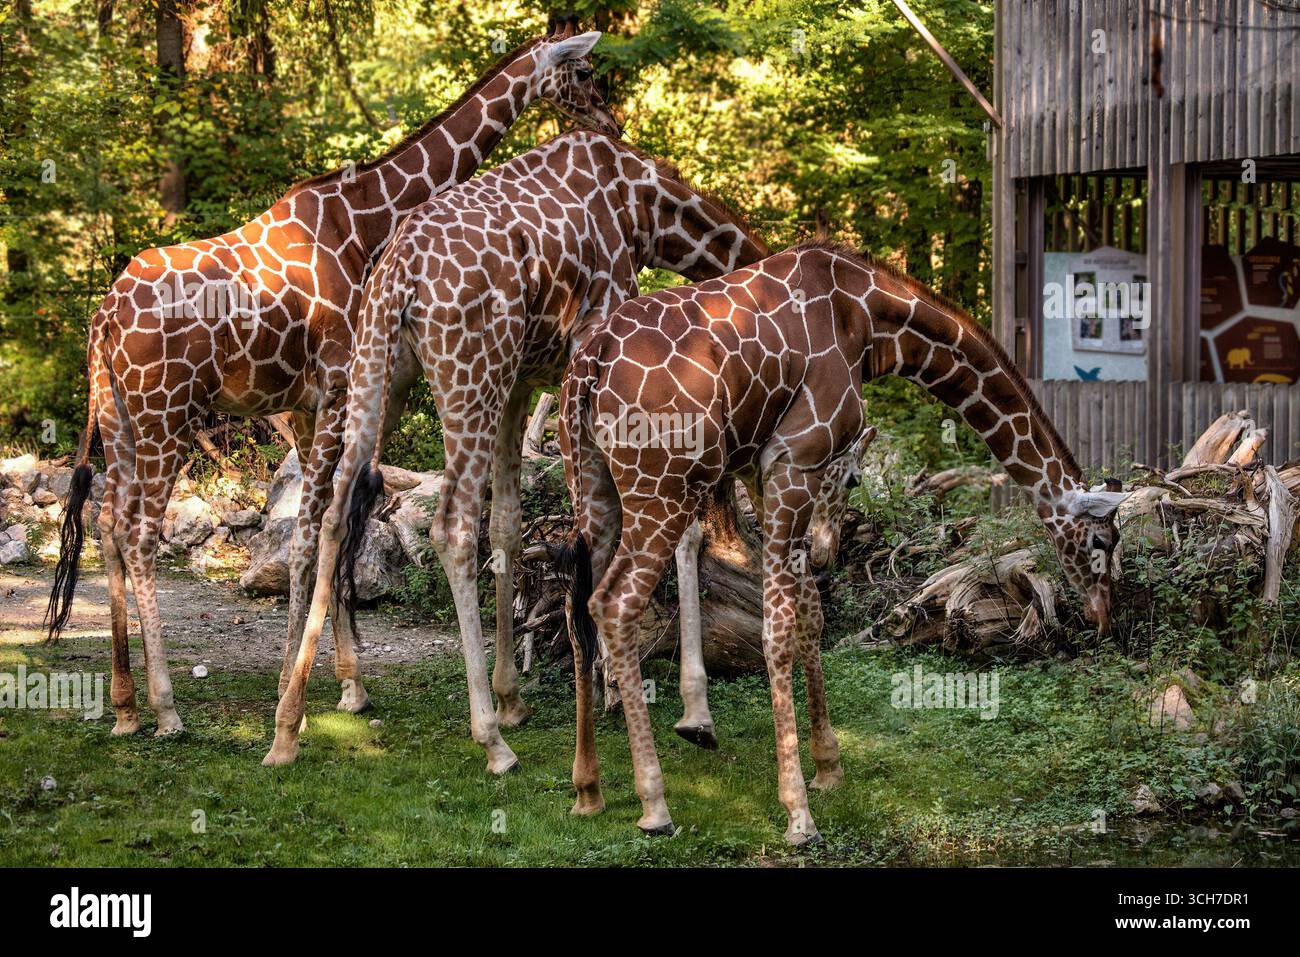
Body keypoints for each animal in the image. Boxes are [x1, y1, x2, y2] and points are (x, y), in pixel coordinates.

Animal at [44, 17, 620, 739]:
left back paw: (124, 705)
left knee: (108, 524)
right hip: (164, 415)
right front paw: (306, 689)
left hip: (120, 415)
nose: (611, 122)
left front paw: (340, 683)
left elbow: (320, 523)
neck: (367, 216)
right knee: (140, 532)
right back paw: (166, 708)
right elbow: (318, 528)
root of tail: (103, 317)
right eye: (583, 71)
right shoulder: (342, 384)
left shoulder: (306, 404)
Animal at [262, 129, 772, 770]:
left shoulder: (522, 381)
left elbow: (508, 524)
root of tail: (399, 274)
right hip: (468, 374)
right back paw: (490, 740)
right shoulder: (598, 361)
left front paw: (516, 696)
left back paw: (291, 723)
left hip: (383, 374)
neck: (649, 212)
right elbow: (647, 528)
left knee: (333, 513)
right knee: (450, 525)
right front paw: (652, 700)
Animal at [557, 241, 1130, 843]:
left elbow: (810, 612)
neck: (871, 324)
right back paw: (655, 805)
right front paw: (798, 812)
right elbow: (779, 627)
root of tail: (588, 365)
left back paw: (588, 791)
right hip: (662, 485)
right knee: (613, 603)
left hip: (591, 483)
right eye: (1101, 541)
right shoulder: (797, 460)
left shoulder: (764, 472)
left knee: (578, 609)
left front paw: (828, 765)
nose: (1103, 618)